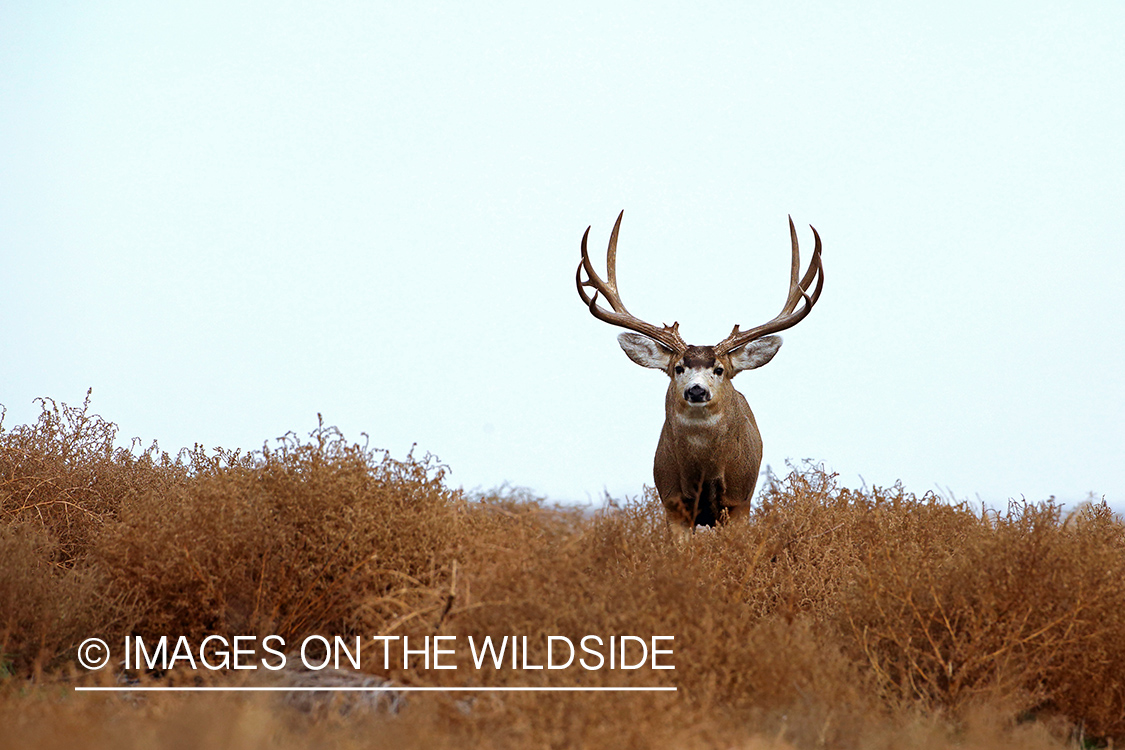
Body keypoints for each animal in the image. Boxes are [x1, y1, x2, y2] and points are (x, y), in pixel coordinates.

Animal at [576, 211, 823, 531]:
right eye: (678, 367)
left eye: (719, 369)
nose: (696, 390)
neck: (703, 477)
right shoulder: (672, 504)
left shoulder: (739, 502)